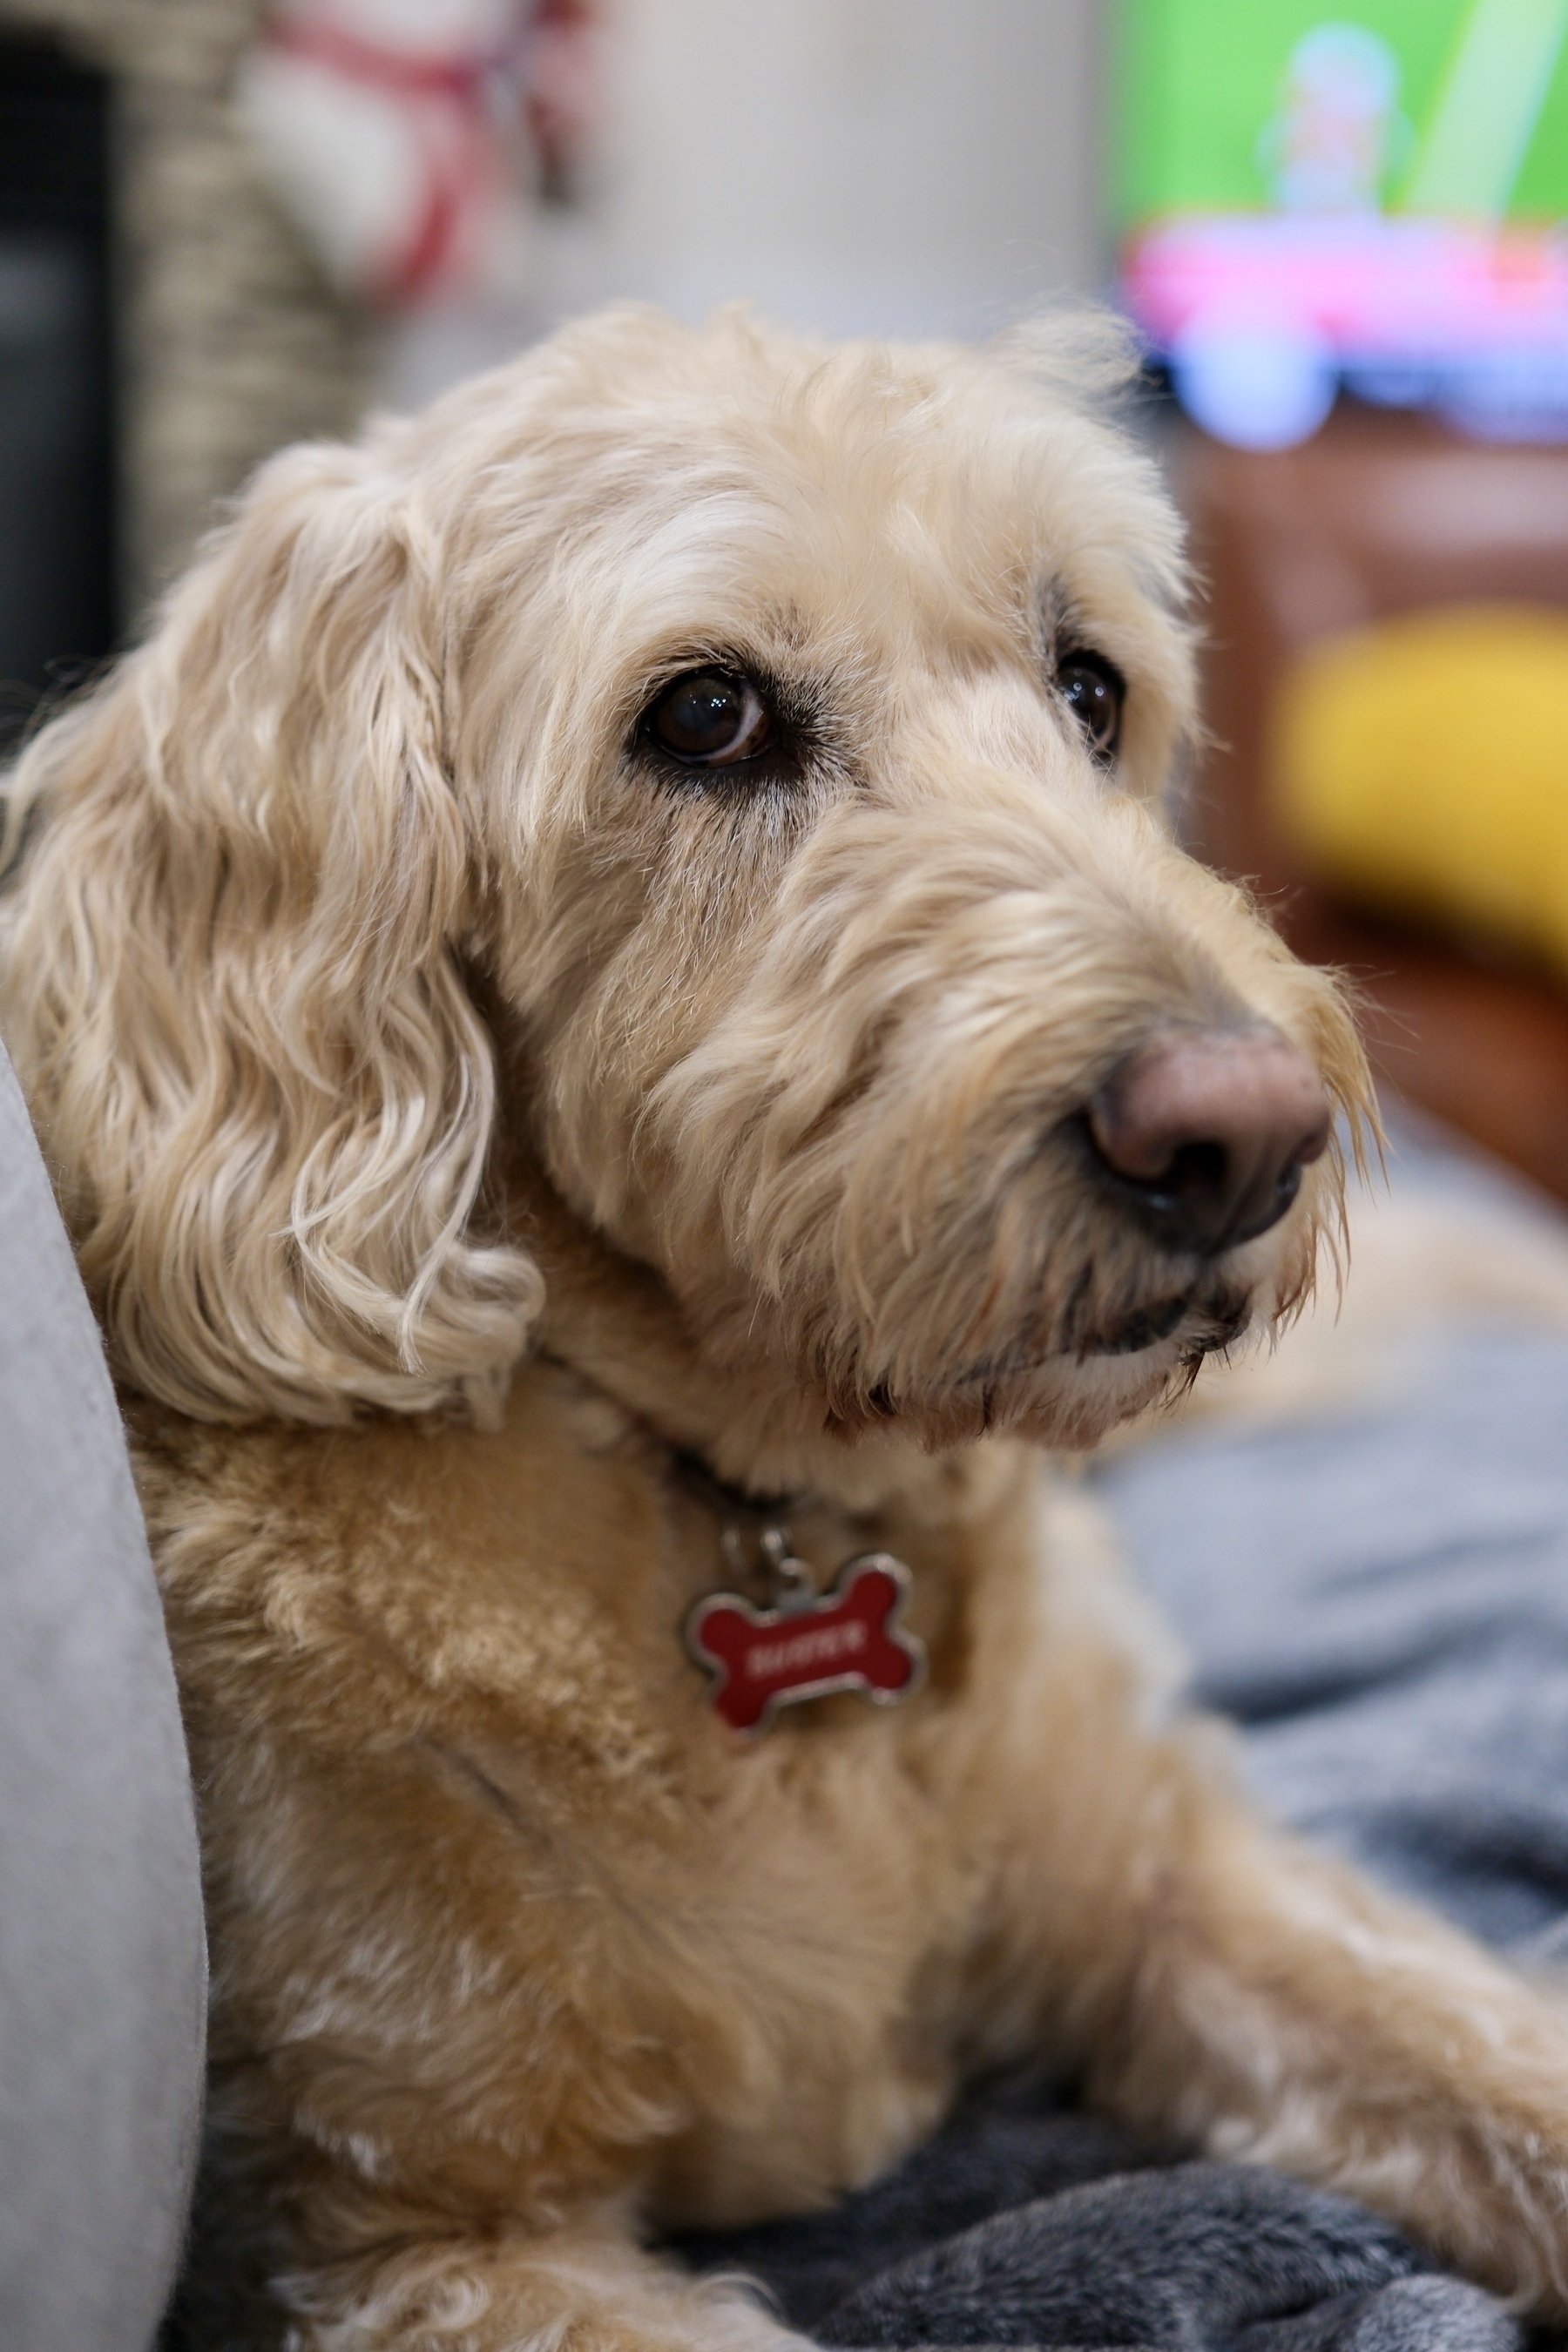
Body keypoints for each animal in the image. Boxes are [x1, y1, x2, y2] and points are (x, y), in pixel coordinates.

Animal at [3, 313, 1568, 2352]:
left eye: (1089, 689)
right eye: (705, 719)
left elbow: (1492, 2053)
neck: (761, 1493)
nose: (1246, 1139)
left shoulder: (1183, 1888)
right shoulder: (416, 2248)